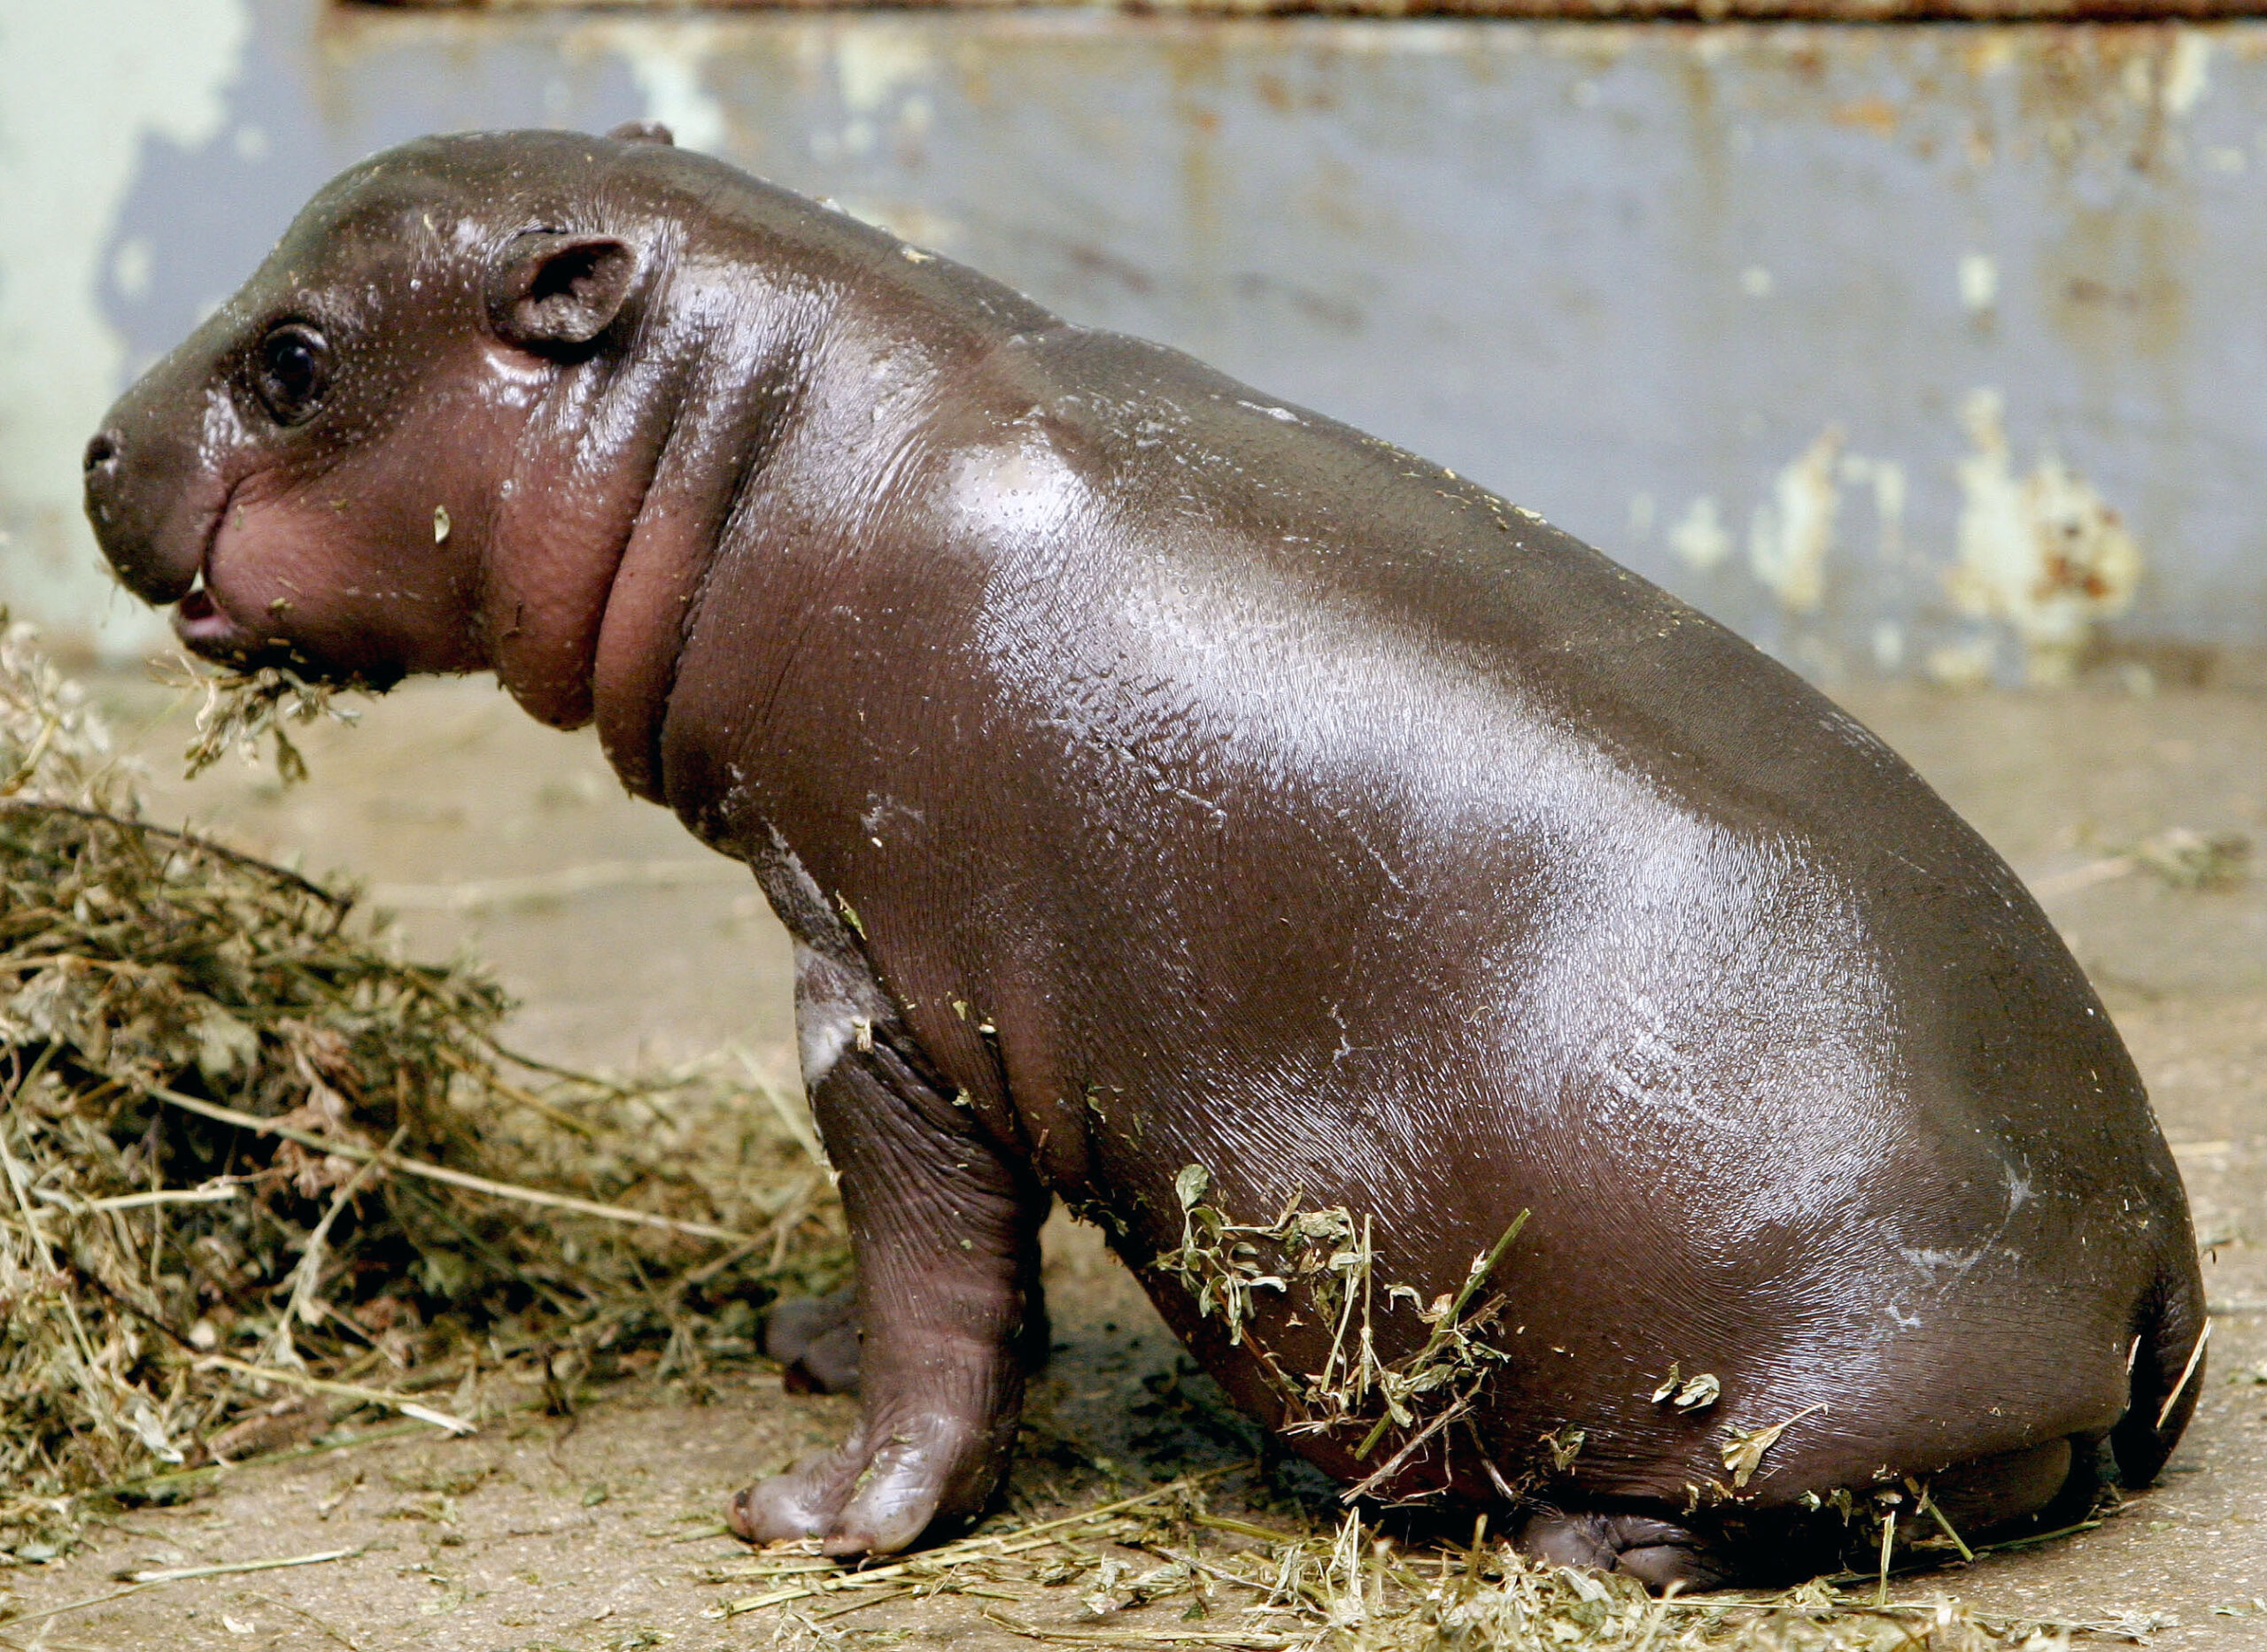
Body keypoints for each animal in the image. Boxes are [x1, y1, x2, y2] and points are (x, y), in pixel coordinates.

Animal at [82, 125, 2204, 1588]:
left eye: (290, 359)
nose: (95, 450)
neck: (746, 429)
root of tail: (2146, 1235)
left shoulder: (875, 991)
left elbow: (945, 1286)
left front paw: (821, 1515)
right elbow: (921, 1290)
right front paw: (803, 1345)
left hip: (1805, 1394)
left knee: (1808, 1511)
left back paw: (1588, 1549)